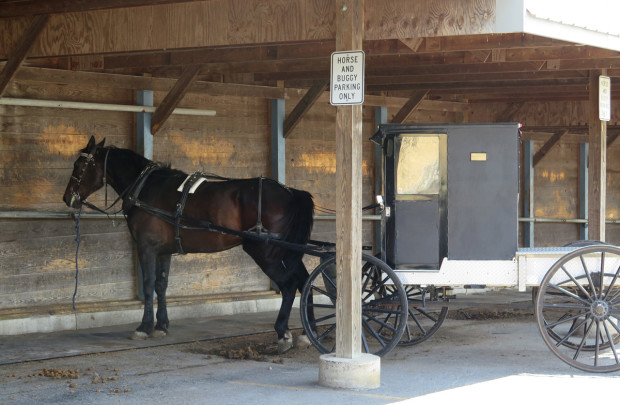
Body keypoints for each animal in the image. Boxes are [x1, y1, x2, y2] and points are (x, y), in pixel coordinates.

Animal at [63, 136, 314, 350]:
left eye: (79, 165)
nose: (67, 198)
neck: (146, 187)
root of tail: (290, 193)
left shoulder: (146, 248)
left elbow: (148, 285)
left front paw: (144, 327)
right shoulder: (163, 251)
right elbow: (161, 285)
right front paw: (161, 325)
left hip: (266, 253)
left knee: (290, 286)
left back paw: (283, 332)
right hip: (285, 254)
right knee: (305, 281)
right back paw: (306, 333)